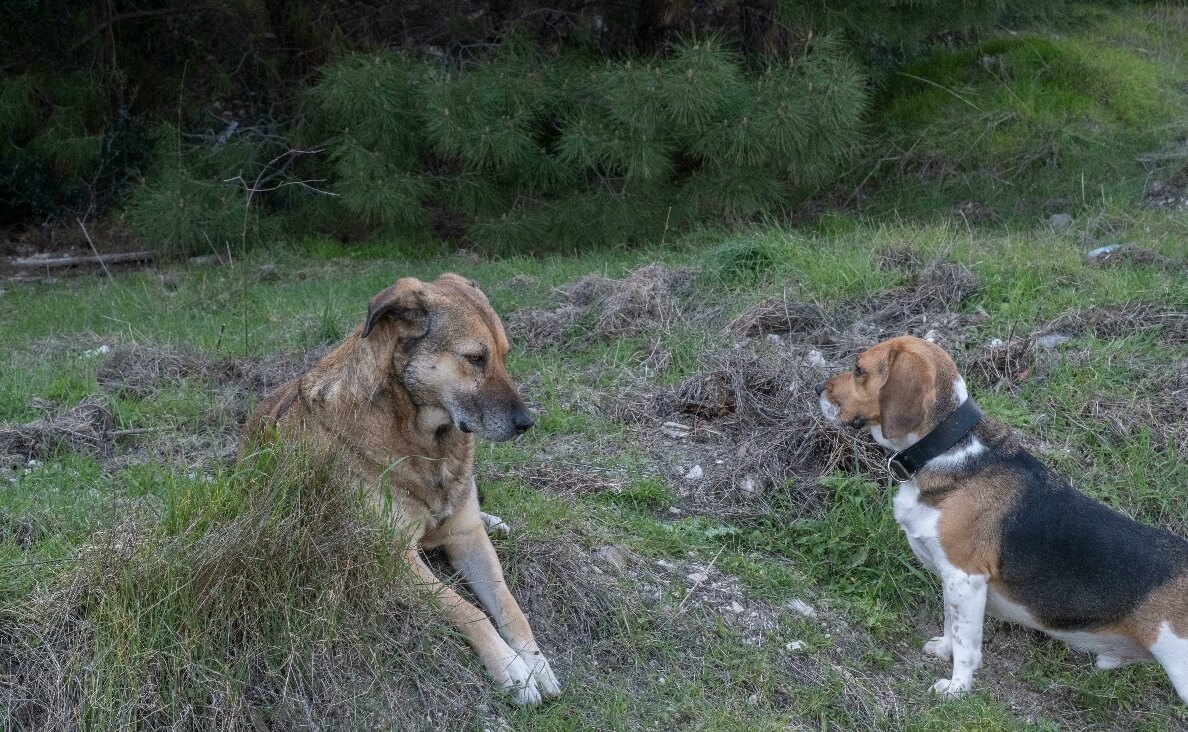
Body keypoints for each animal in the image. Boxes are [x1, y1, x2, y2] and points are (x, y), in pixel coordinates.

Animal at [241, 273, 560, 703]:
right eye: (475, 358)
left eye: (504, 354)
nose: (527, 424)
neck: (423, 441)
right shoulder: (394, 558)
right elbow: (468, 610)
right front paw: (511, 666)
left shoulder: (467, 537)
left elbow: (510, 607)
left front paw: (536, 661)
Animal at [817, 337, 1188, 703]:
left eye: (859, 370)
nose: (820, 388)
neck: (947, 448)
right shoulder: (952, 580)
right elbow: (951, 622)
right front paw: (944, 651)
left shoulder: (966, 577)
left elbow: (966, 645)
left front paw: (957, 689)